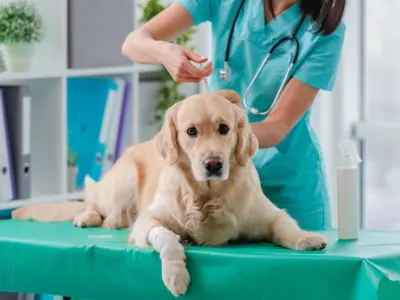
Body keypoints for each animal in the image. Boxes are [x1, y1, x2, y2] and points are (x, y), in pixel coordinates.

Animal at [12, 89, 326, 296]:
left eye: (224, 128)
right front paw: (176, 274)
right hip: (123, 180)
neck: (207, 196)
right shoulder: (147, 222)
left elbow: (285, 225)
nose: (213, 164)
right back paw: (87, 217)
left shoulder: (268, 214)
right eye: (191, 131)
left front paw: (306, 238)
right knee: (98, 205)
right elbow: (167, 239)